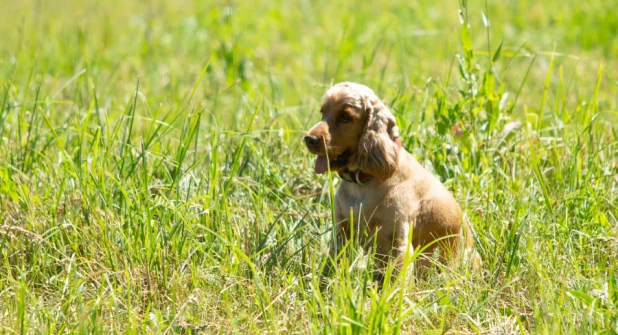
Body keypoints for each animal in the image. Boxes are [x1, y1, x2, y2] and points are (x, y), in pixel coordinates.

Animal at [304, 82, 472, 284]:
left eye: (346, 117)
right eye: (323, 112)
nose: (309, 139)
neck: (362, 182)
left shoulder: (397, 242)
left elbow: (396, 281)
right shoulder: (342, 232)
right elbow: (330, 266)